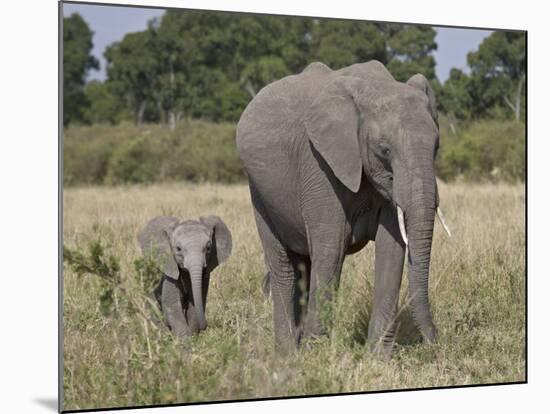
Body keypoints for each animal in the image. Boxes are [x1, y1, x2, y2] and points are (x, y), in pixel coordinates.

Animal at [237, 59, 452, 354]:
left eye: (437, 146)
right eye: (384, 149)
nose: (434, 341)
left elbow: (391, 249)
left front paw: (378, 357)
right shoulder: (319, 164)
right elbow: (331, 248)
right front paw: (315, 355)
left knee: (304, 266)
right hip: (260, 192)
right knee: (285, 267)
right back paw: (287, 354)